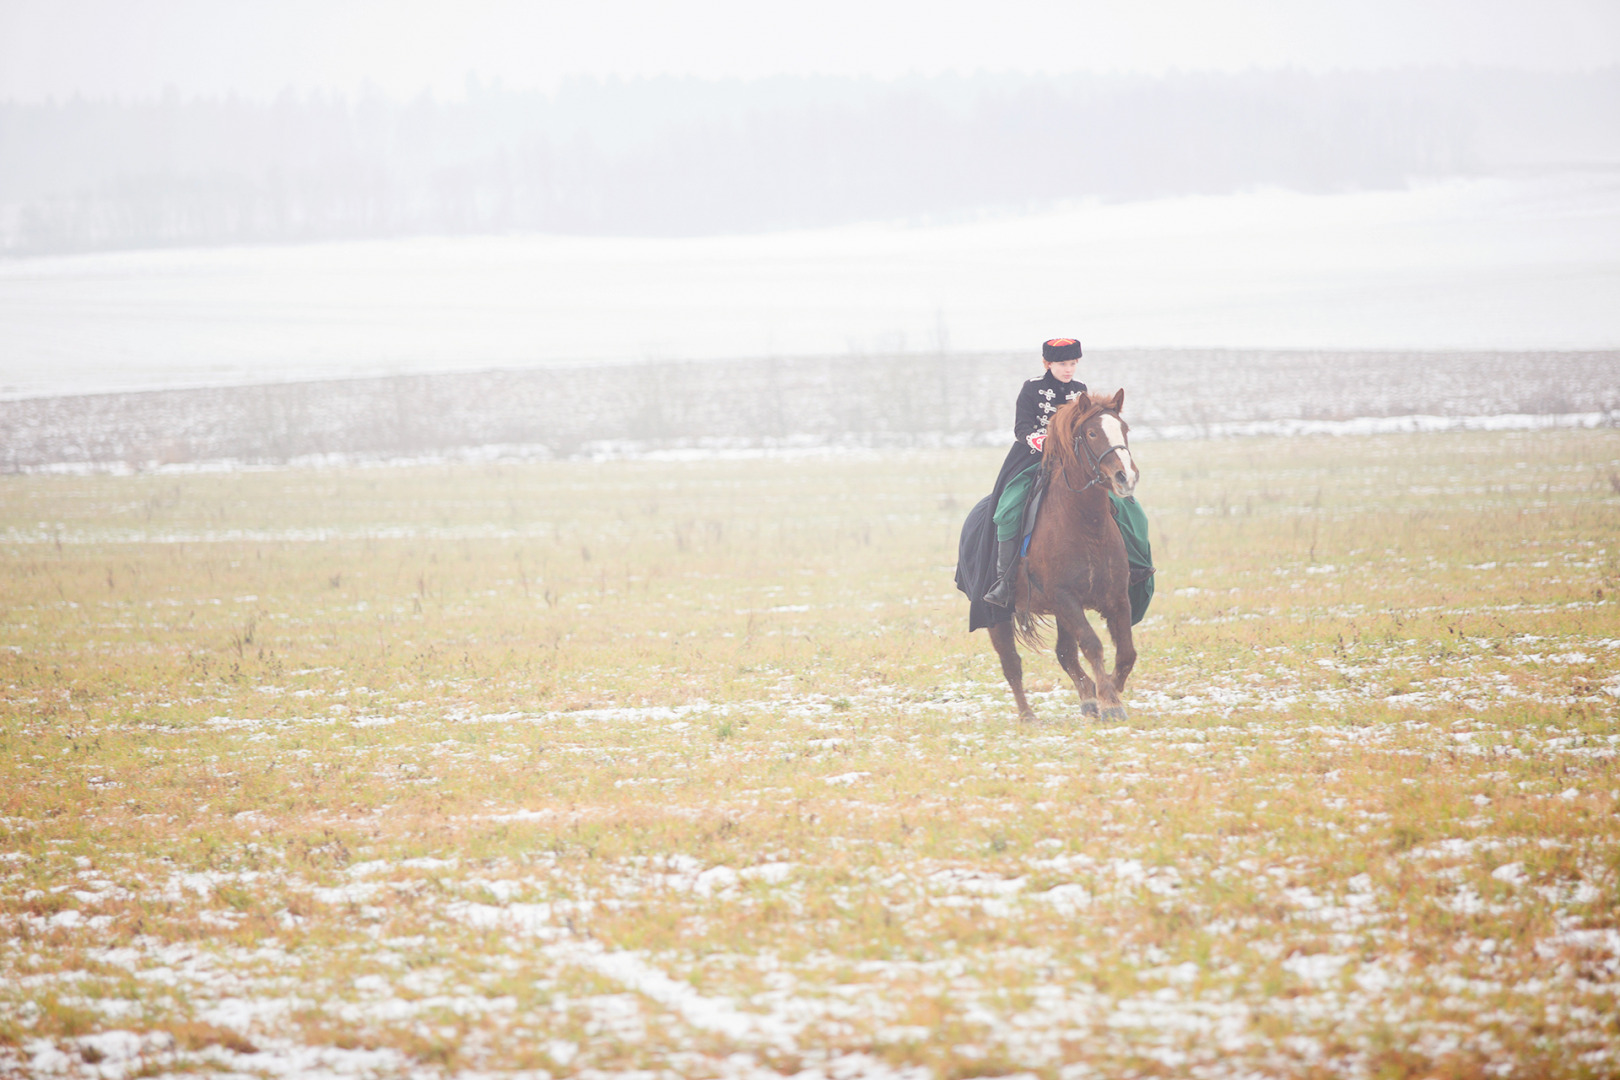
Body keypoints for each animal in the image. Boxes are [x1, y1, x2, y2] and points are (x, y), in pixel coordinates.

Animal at [984, 383, 1140, 722]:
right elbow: (1093, 645)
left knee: (1065, 654)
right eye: (1092, 433)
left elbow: (1126, 653)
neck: (1085, 525)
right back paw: (1028, 716)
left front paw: (1110, 692)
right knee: (1011, 663)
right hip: (995, 614)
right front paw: (1110, 701)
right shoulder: (1066, 598)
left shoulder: (1117, 596)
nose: (1126, 477)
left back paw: (1088, 701)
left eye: (1124, 429)